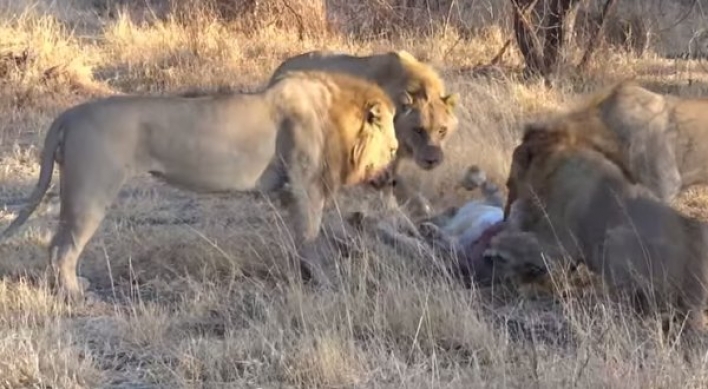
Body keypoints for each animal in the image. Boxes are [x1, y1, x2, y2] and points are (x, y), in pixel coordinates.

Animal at [0, 70, 398, 300]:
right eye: (394, 148)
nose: (394, 180)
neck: (337, 117)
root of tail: (69, 114)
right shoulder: (304, 188)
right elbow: (312, 239)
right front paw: (328, 283)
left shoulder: (291, 194)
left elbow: (301, 240)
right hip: (91, 191)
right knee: (62, 248)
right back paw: (75, 294)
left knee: (55, 244)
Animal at [268, 49, 462, 217]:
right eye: (418, 130)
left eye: (442, 130)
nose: (432, 160)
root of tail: (278, 71)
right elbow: (389, 182)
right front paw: (391, 208)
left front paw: (422, 206)